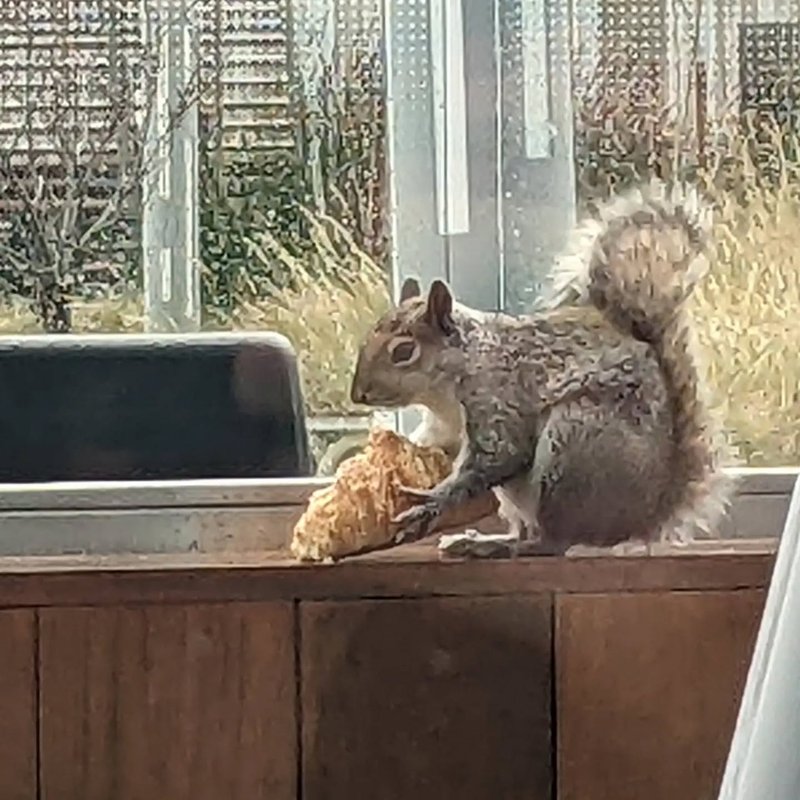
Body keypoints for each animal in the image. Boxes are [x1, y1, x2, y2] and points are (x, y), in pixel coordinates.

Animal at [349, 180, 731, 556]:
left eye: (404, 351)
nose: (358, 395)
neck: (451, 382)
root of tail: (646, 516)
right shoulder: (443, 425)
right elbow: (433, 443)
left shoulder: (497, 398)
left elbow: (499, 456)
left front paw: (430, 502)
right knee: (528, 532)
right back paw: (483, 542)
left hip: (572, 448)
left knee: (552, 542)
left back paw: (509, 545)